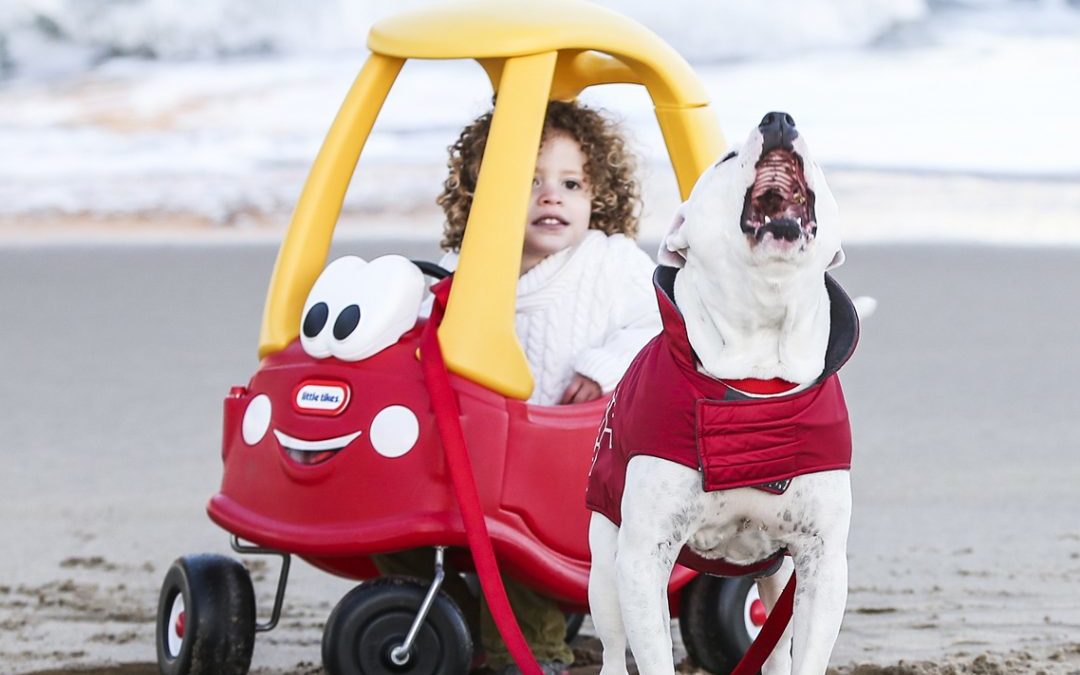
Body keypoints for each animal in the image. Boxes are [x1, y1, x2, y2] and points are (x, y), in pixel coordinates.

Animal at [587, 113, 855, 669]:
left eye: (817, 161)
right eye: (726, 158)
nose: (779, 119)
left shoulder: (821, 562)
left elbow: (806, 655)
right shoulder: (643, 557)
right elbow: (652, 659)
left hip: (777, 576)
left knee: (773, 647)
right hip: (605, 560)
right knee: (612, 648)